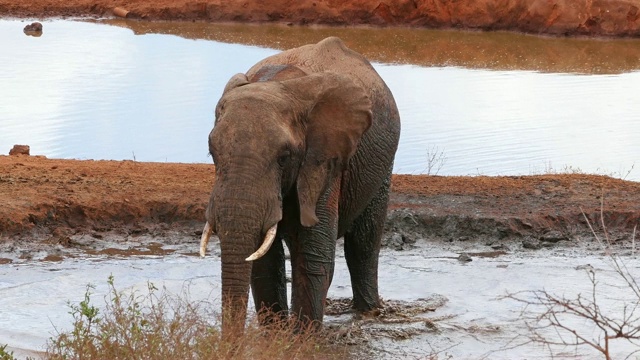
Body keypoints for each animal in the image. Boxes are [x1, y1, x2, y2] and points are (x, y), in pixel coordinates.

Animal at [200, 36, 400, 332]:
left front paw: (301, 338)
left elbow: (313, 254)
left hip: (382, 165)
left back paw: (369, 314)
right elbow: (264, 263)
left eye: (284, 158)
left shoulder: (324, 157)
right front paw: (274, 336)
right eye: (212, 152)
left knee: (363, 245)